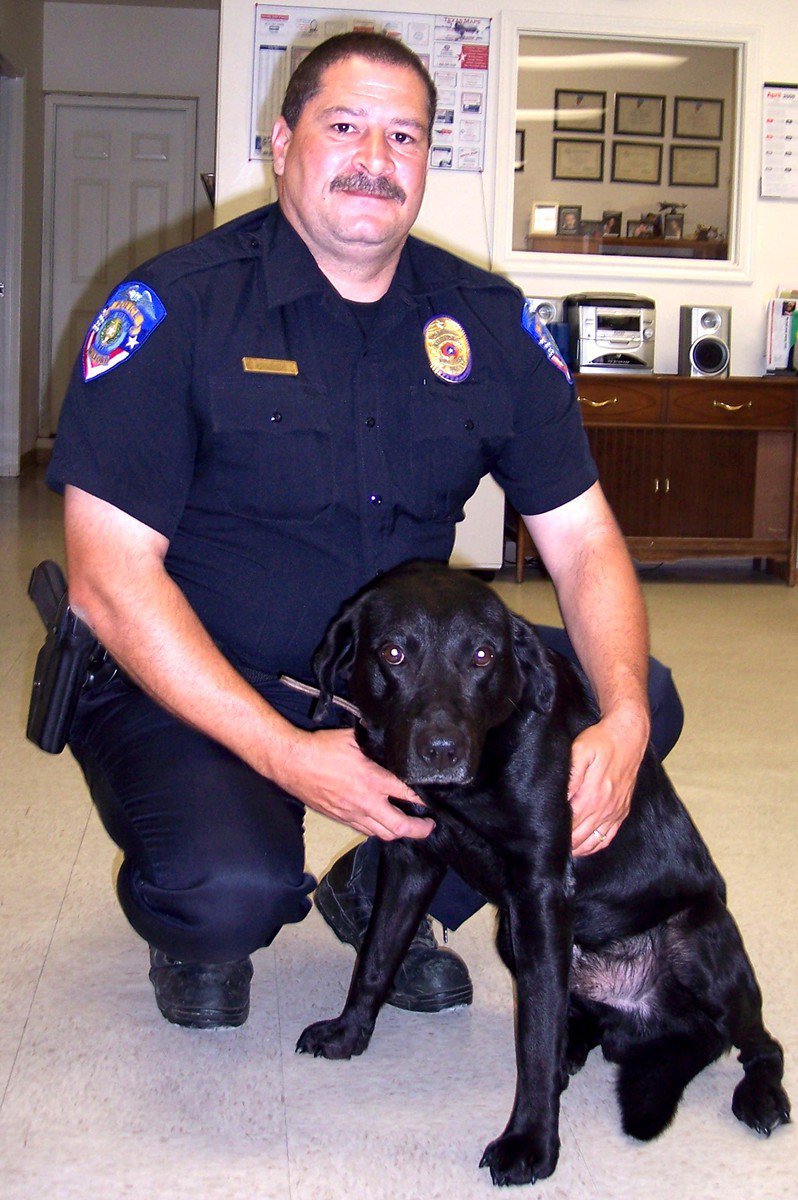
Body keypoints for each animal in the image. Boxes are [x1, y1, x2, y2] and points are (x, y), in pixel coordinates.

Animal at [295, 561, 787, 1180]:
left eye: (483, 656)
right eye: (393, 653)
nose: (441, 750)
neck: (482, 767)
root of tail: (653, 1026)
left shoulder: (540, 893)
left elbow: (532, 1039)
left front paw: (529, 1142)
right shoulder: (411, 856)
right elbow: (376, 958)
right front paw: (349, 1032)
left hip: (697, 937)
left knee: (761, 1044)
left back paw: (761, 1097)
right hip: (514, 936)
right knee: (580, 1023)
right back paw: (571, 1055)